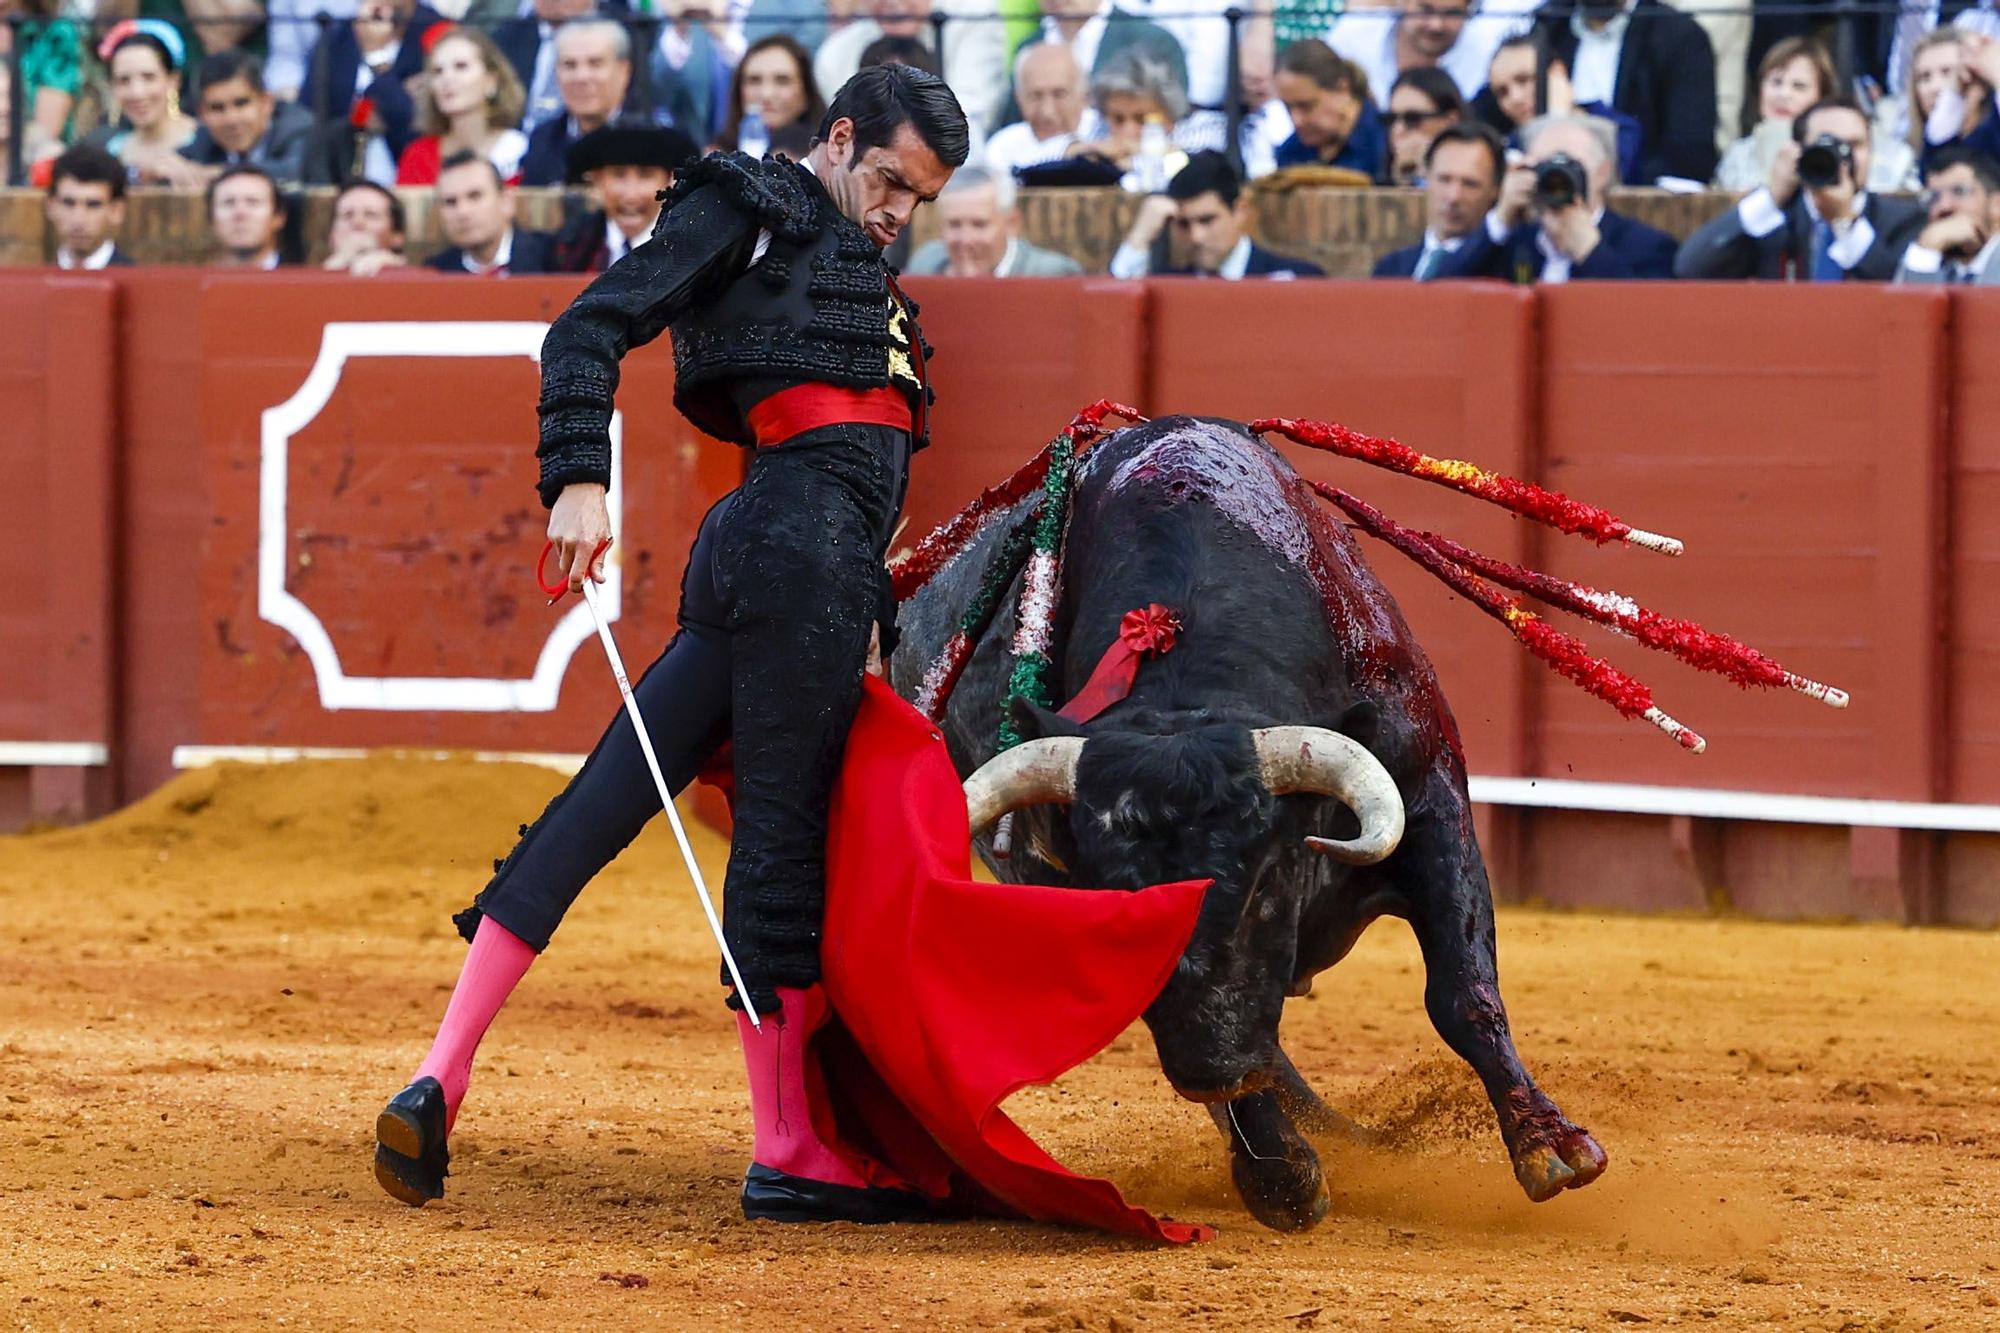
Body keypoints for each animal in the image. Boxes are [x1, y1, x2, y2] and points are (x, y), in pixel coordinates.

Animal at [892, 412, 1608, 1224]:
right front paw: (1280, 1178)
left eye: (1266, 881)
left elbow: (1463, 991)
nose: (1210, 1068)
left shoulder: (1431, 802)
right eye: (1119, 906)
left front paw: (1551, 1146)